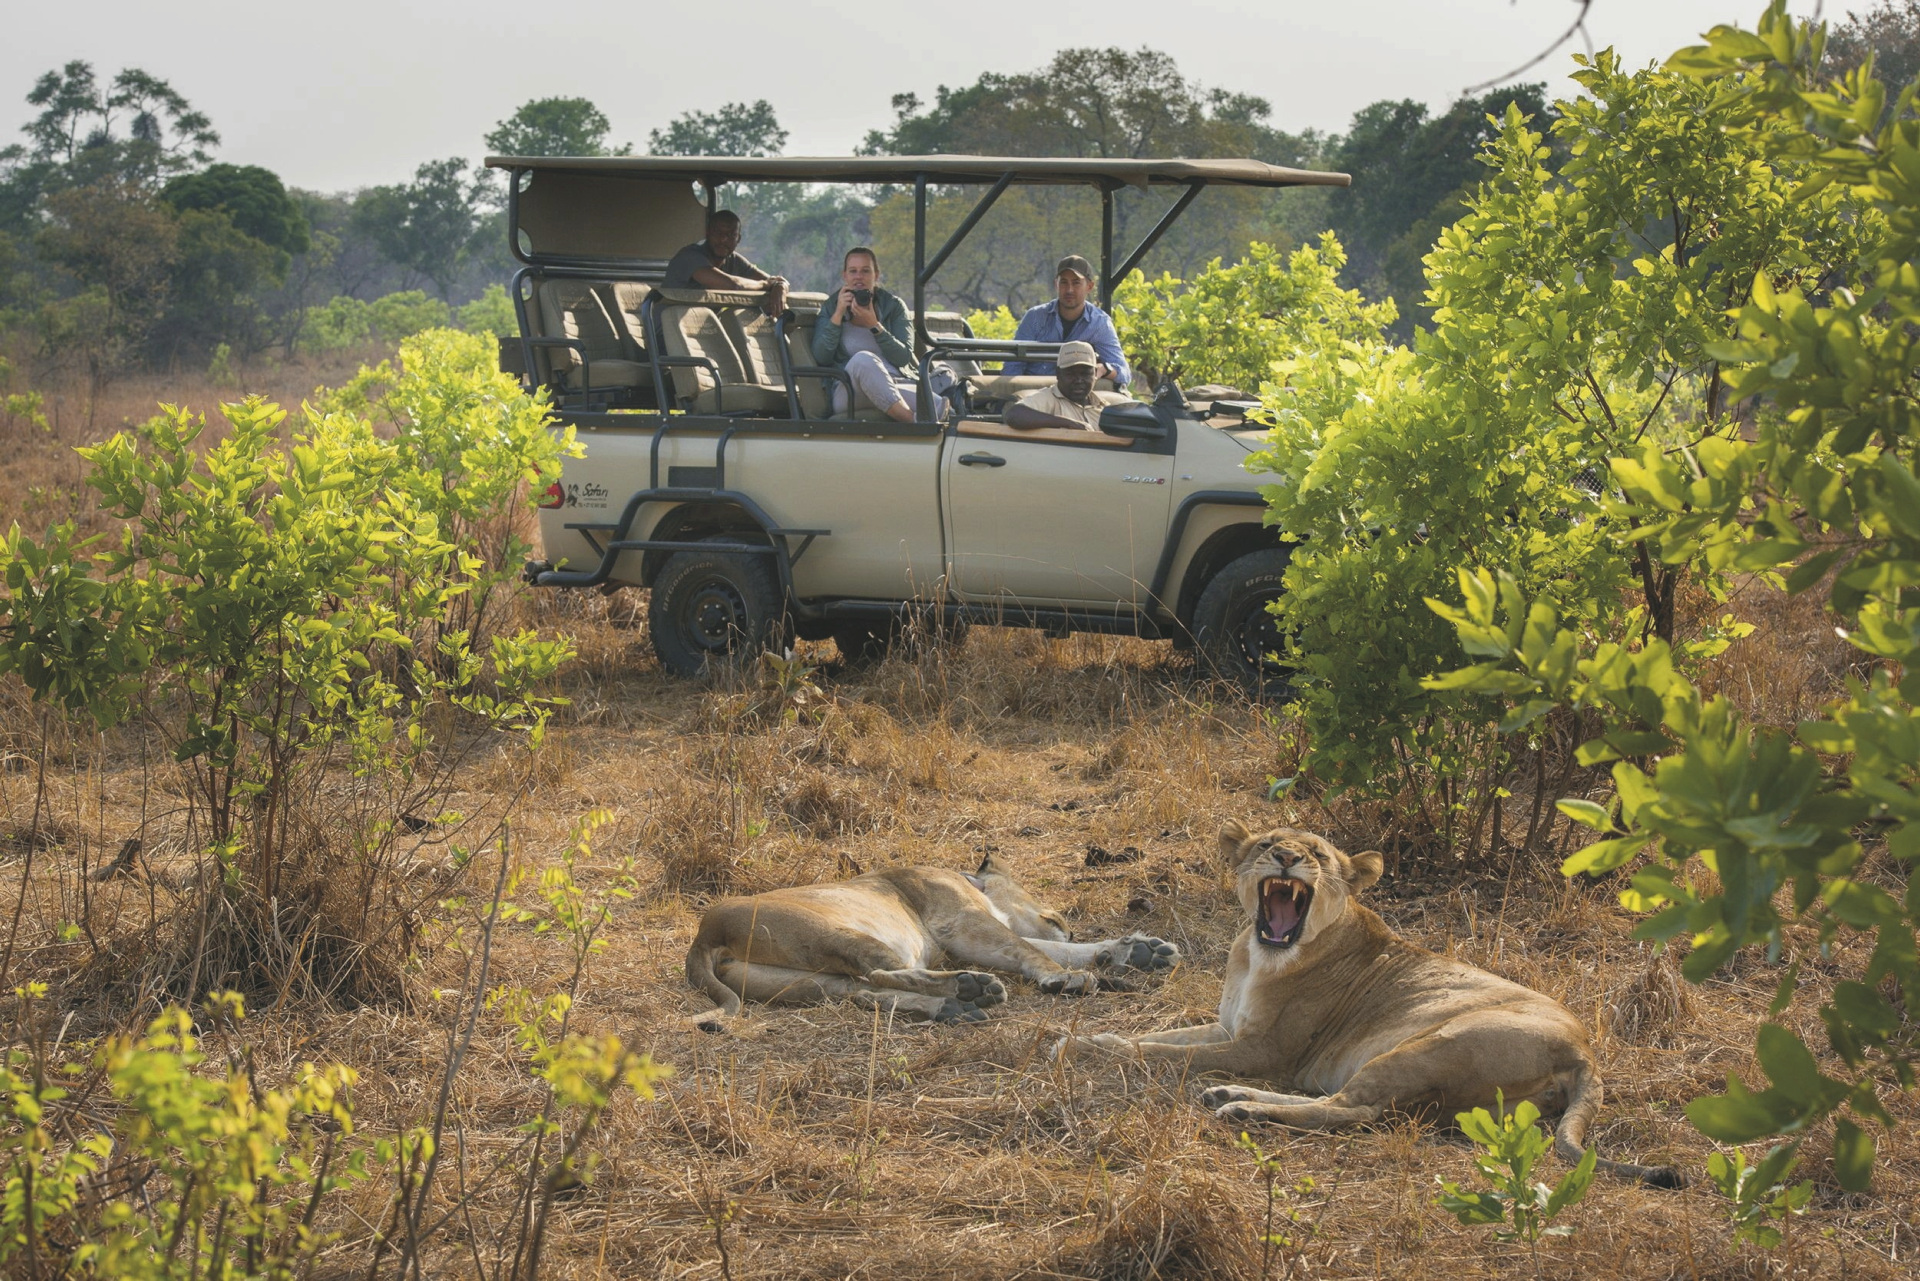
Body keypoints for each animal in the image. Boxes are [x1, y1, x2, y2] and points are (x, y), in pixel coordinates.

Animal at [686, 855, 1180, 1027]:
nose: (1065, 919)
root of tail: (704, 934)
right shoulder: (961, 925)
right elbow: (1031, 949)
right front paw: (1068, 979)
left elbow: (1051, 947)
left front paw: (1140, 950)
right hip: (838, 932)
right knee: (881, 972)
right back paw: (971, 989)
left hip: (803, 982)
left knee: (864, 992)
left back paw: (954, 1008)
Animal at [1062, 820, 1680, 1186]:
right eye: (1265, 844)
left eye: (1317, 854)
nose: (1284, 858)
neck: (1259, 955)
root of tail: (1585, 1052)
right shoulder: (1228, 1031)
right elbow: (1162, 1038)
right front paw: (1090, 1037)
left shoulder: (1263, 1050)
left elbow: (1165, 1054)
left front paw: (1079, 1048)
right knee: (1348, 1103)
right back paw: (1228, 1096)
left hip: (1430, 1044)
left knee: (1352, 1109)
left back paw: (1242, 1109)